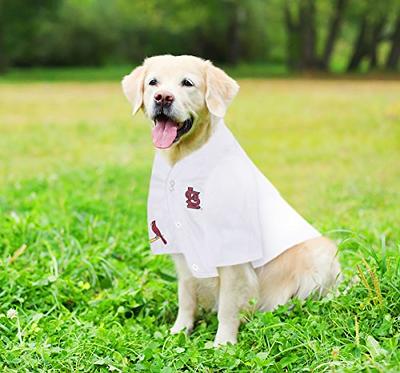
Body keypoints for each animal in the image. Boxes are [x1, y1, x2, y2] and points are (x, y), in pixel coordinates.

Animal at [122, 55, 340, 346]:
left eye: (187, 83)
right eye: (153, 82)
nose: (163, 98)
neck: (183, 160)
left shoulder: (232, 252)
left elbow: (227, 304)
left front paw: (223, 343)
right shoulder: (182, 251)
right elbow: (186, 295)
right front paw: (180, 331)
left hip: (320, 256)